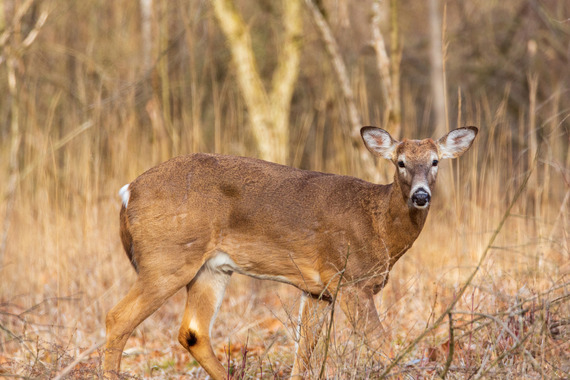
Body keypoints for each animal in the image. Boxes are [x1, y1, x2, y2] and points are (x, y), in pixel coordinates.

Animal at [102, 124, 474, 378]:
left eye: (436, 161)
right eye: (400, 162)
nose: (421, 195)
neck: (378, 224)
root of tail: (128, 192)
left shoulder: (319, 291)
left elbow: (304, 353)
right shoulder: (351, 280)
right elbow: (381, 344)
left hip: (211, 268)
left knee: (193, 333)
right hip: (168, 258)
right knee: (117, 318)